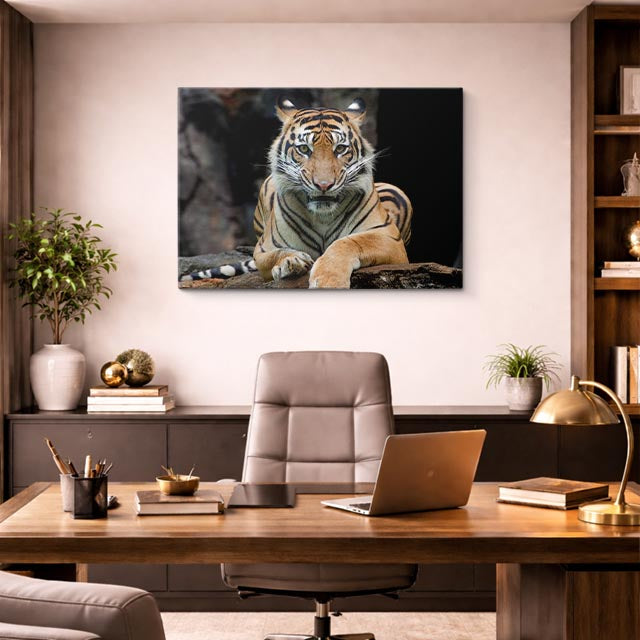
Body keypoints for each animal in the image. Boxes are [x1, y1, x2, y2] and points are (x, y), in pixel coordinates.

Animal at [253, 96, 413, 289]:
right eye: (304, 149)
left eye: (340, 149)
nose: (324, 185)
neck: (322, 217)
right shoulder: (263, 248)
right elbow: (276, 254)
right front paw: (292, 261)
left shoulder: (389, 238)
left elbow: (349, 242)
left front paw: (328, 280)